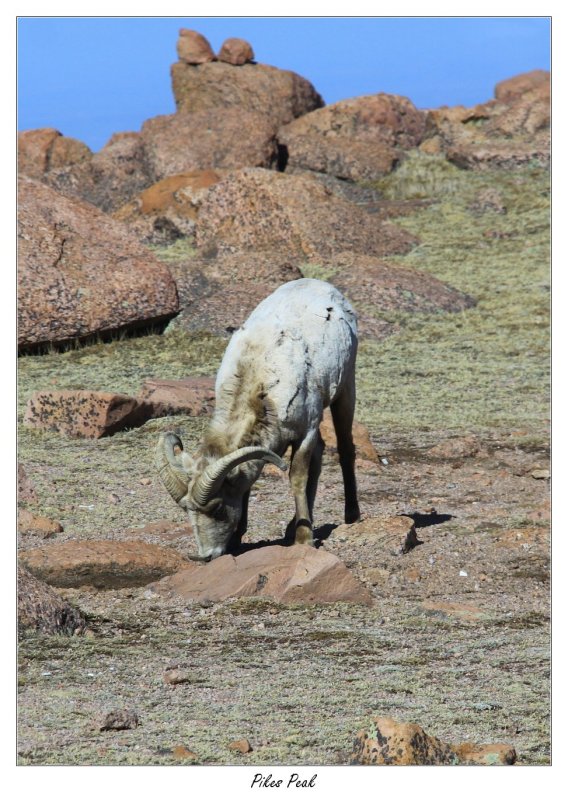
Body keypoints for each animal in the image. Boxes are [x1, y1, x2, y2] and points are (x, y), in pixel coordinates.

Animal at [155, 278, 360, 560]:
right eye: (186, 510)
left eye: (218, 508)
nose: (206, 556)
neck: (260, 387)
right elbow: (249, 485)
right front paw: (238, 538)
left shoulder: (305, 432)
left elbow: (297, 477)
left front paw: (304, 540)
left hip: (346, 389)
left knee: (344, 447)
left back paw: (351, 515)